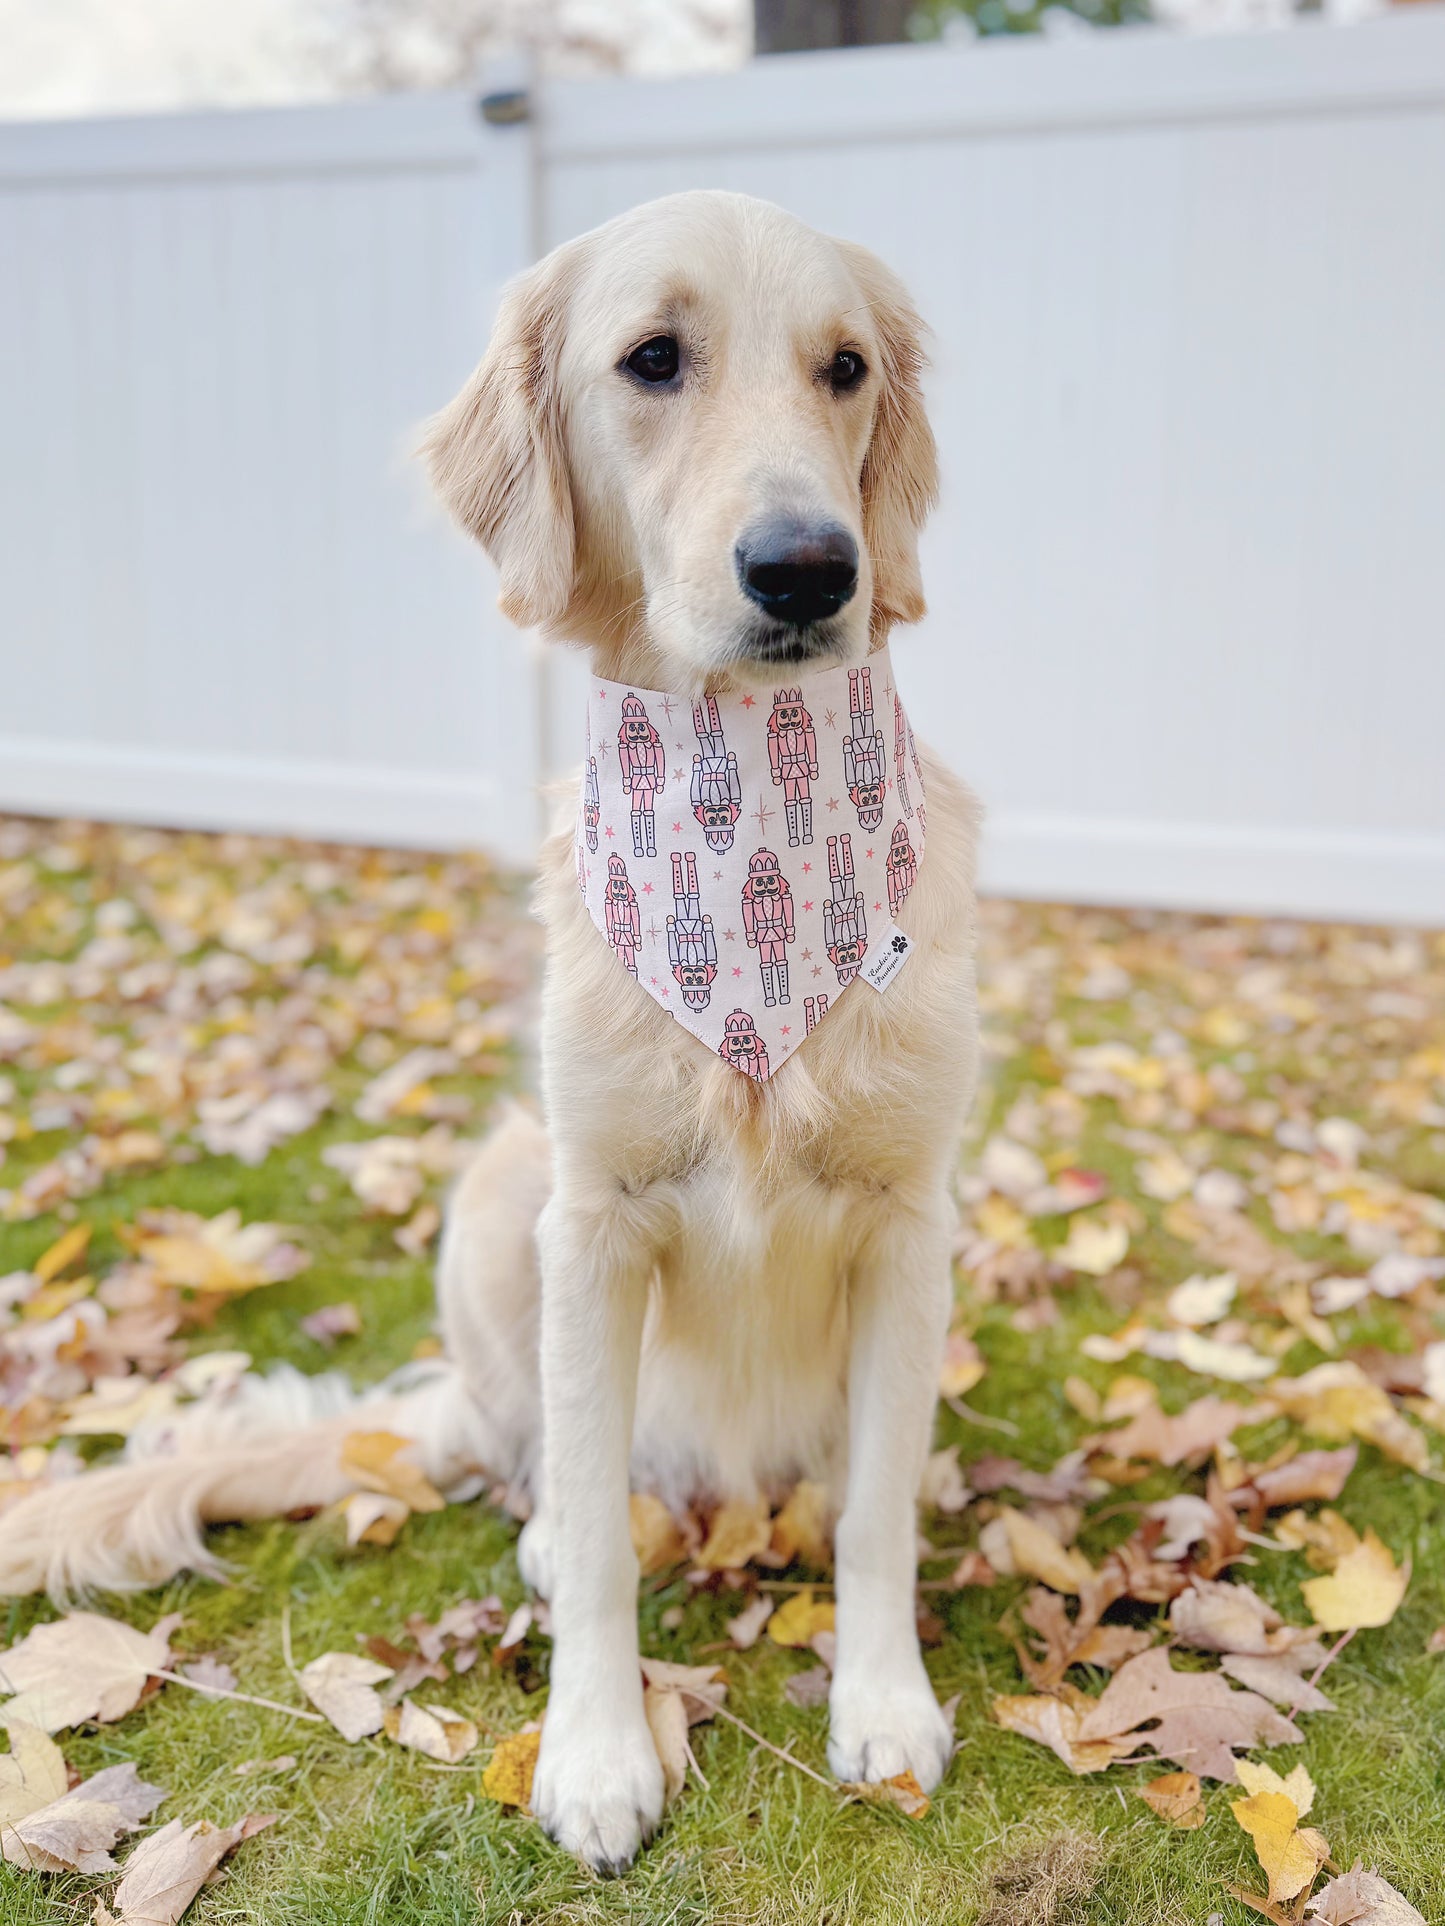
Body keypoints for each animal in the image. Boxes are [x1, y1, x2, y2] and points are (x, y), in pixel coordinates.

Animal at [0, 195, 986, 1879]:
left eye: (845, 367)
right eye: (651, 359)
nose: (809, 569)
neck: (750, 822)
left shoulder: (909, 1221)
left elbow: (873, 1514)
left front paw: (882, 1703)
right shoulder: (591, 1219)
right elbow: (594, 1527)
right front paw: (594, 1753)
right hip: (496, 1198)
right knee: (542, 1461)